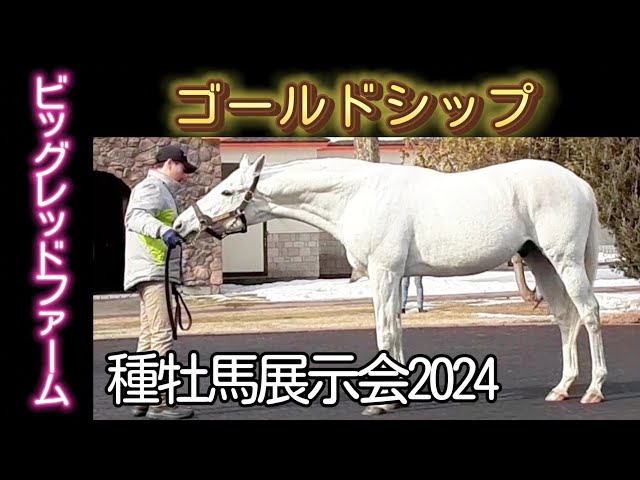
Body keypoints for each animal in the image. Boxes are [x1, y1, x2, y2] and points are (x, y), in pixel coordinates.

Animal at [172, 153, 608, 415]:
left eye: (227, 190)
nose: (181, 224)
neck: (358, 196)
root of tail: (581, 185)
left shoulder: (384, 274)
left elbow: (384, 330)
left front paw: (380, 402)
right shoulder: (394, 276)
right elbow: (395, 331)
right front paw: (396, 397)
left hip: (564, 260)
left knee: (589, 313)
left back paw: (593, 389)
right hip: (540, 260)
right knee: (565, 318)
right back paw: (562, 387)